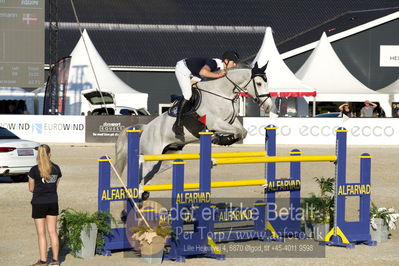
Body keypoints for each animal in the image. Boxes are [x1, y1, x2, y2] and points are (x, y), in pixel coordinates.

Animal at [114, 62, 274, 187]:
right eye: (259, 83)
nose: (268, 107)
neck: (222, 93)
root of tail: (146, 128)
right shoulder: (215, 122)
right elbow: (237, 132)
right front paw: (220, 139)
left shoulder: (230, 121)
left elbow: (242, 131)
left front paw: (224, 140)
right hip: (151, 154)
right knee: (142, 171)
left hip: (168, 157)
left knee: (149, 174)